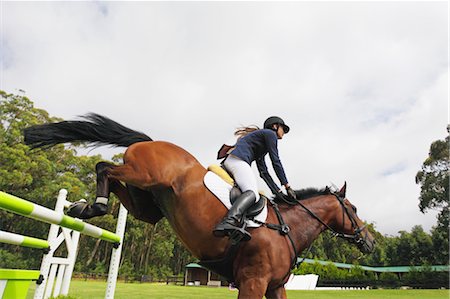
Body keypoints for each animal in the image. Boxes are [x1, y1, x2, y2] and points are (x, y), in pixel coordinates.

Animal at [25, 113, 376, 298]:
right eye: (355, 209)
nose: (370, 242)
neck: (285, 229)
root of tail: (150, 141)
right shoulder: (253, 282)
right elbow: (273, 162)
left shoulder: (275, 287)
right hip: (144, 173)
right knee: (103, 167)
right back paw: (92, 206)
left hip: (147, 204)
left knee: (122, 192)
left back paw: (86, 208)